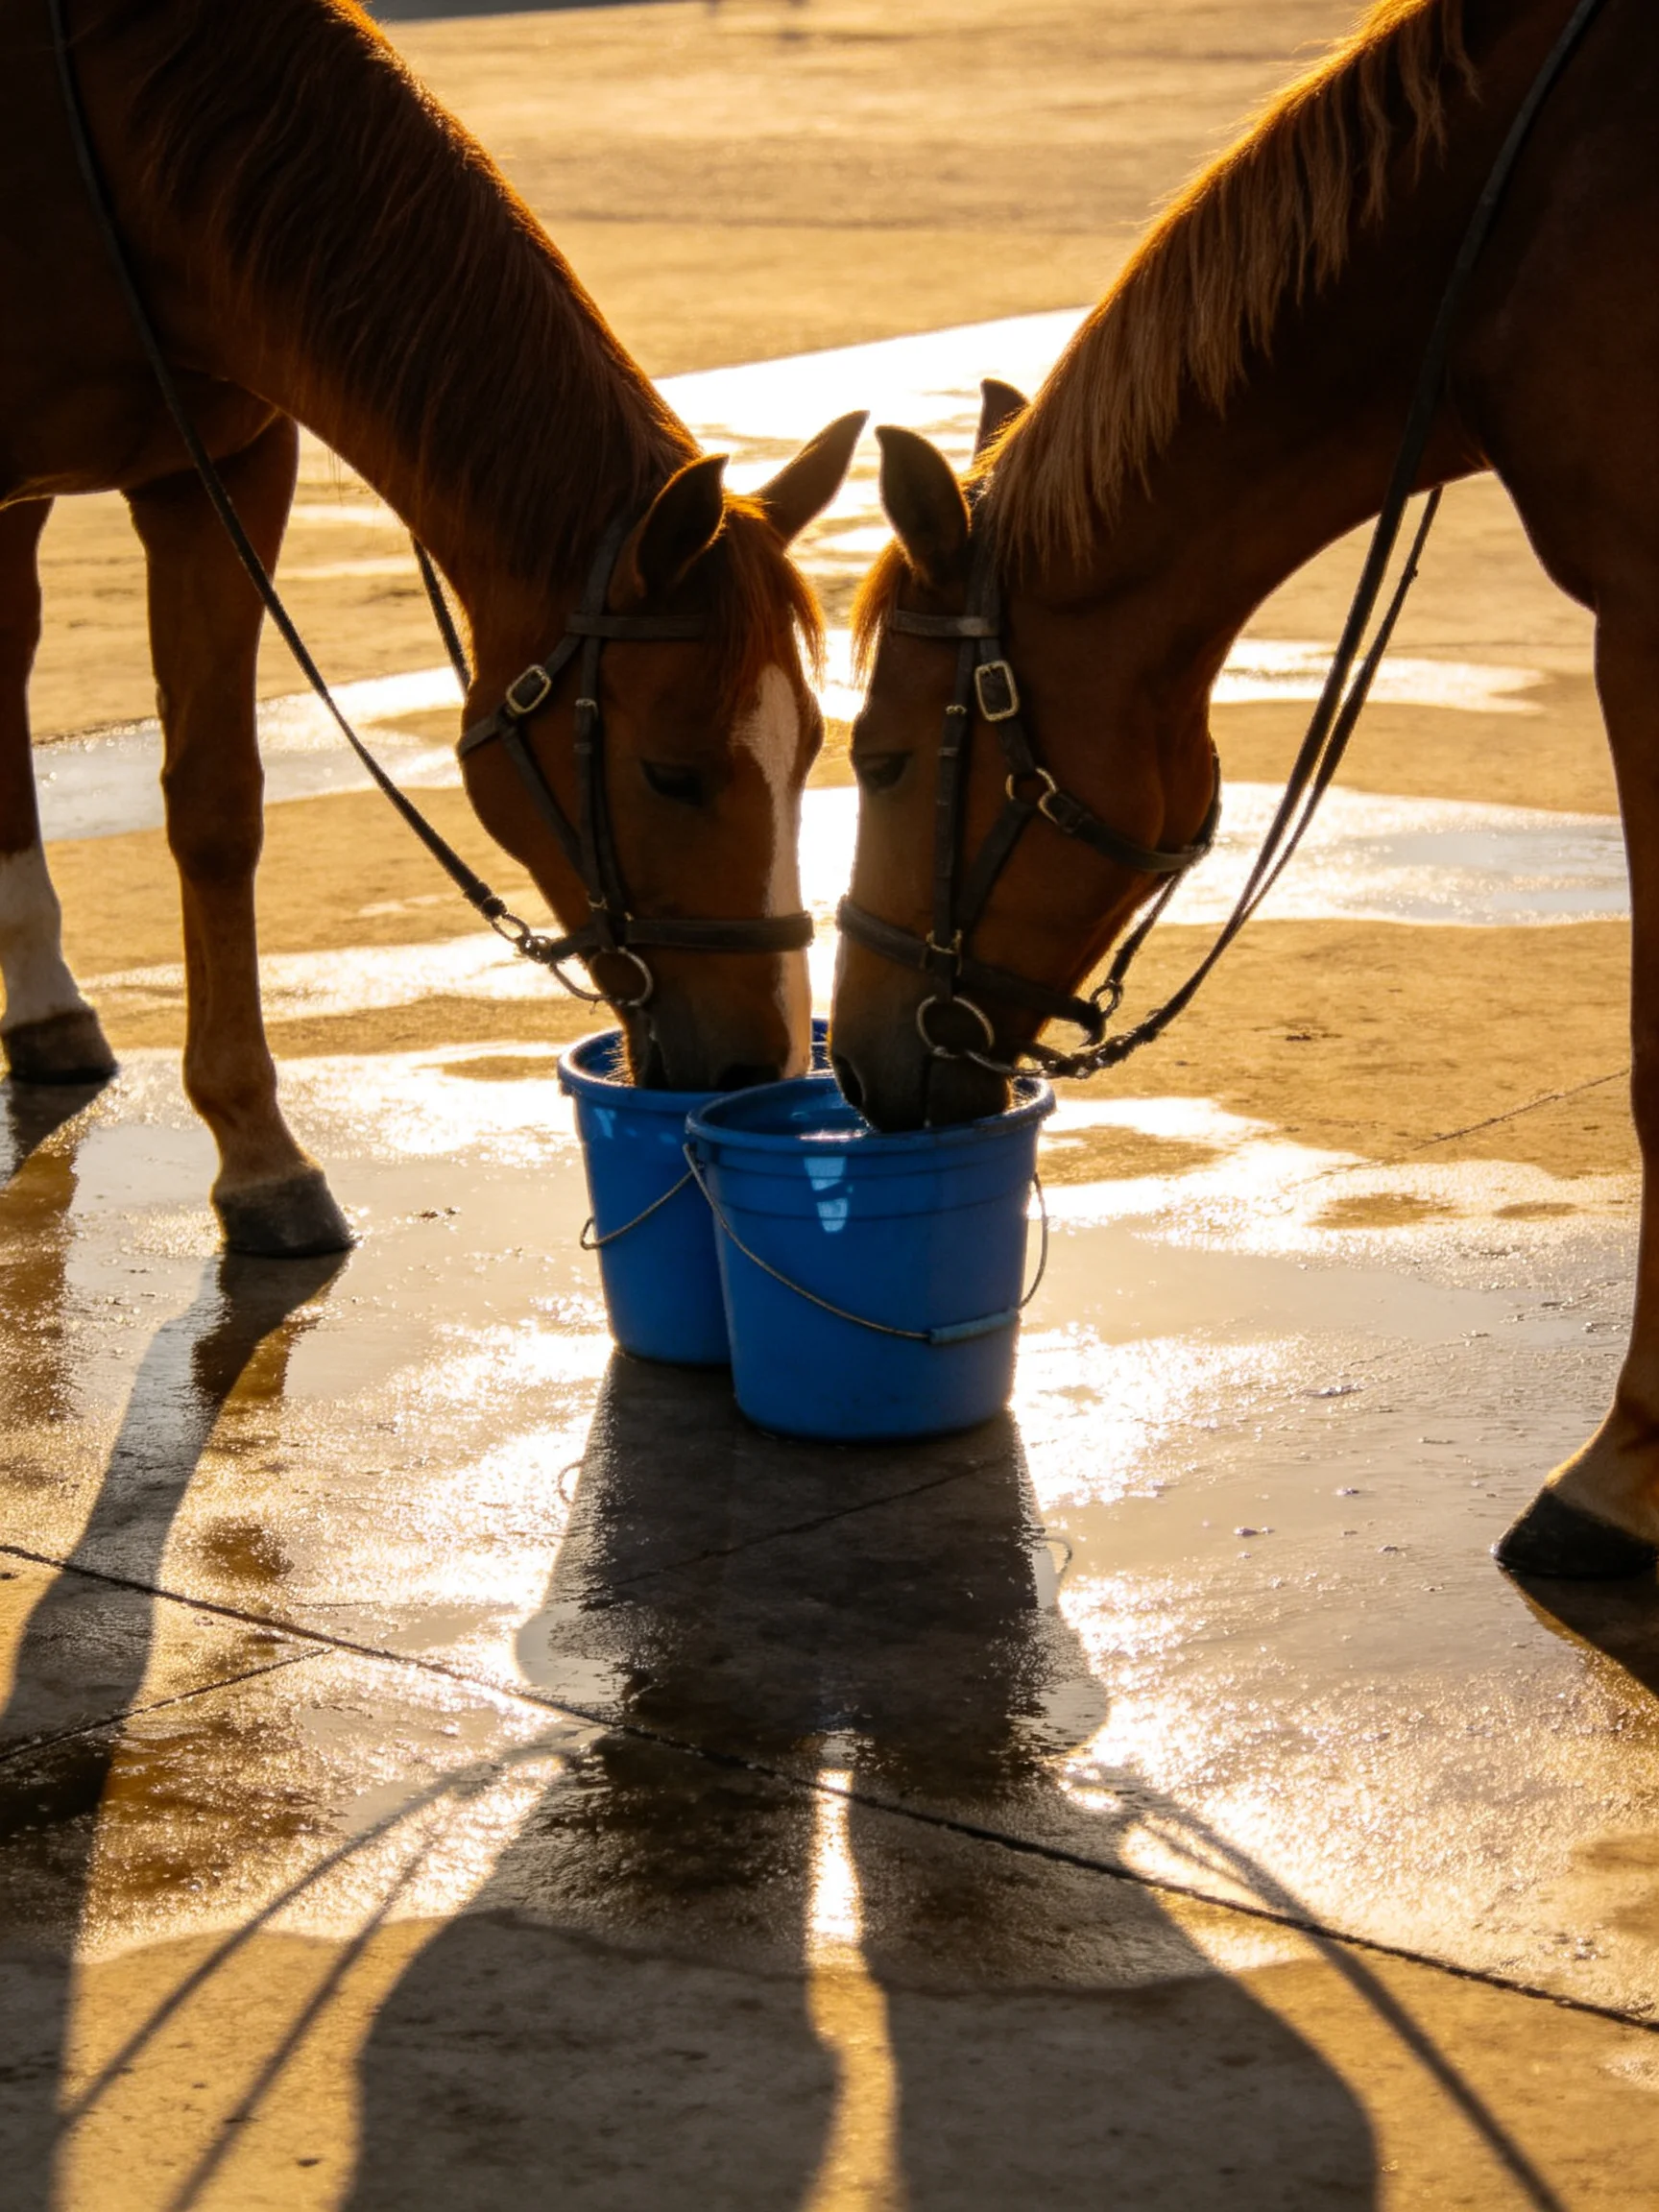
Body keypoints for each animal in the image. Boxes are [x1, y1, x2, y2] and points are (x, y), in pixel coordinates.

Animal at [0, 0, 861, 1257]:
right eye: (670, 774)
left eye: (807, 757)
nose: (764, 1060)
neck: (101, 147)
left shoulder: (217, 474)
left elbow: (217, 807)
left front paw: (259, 1153)